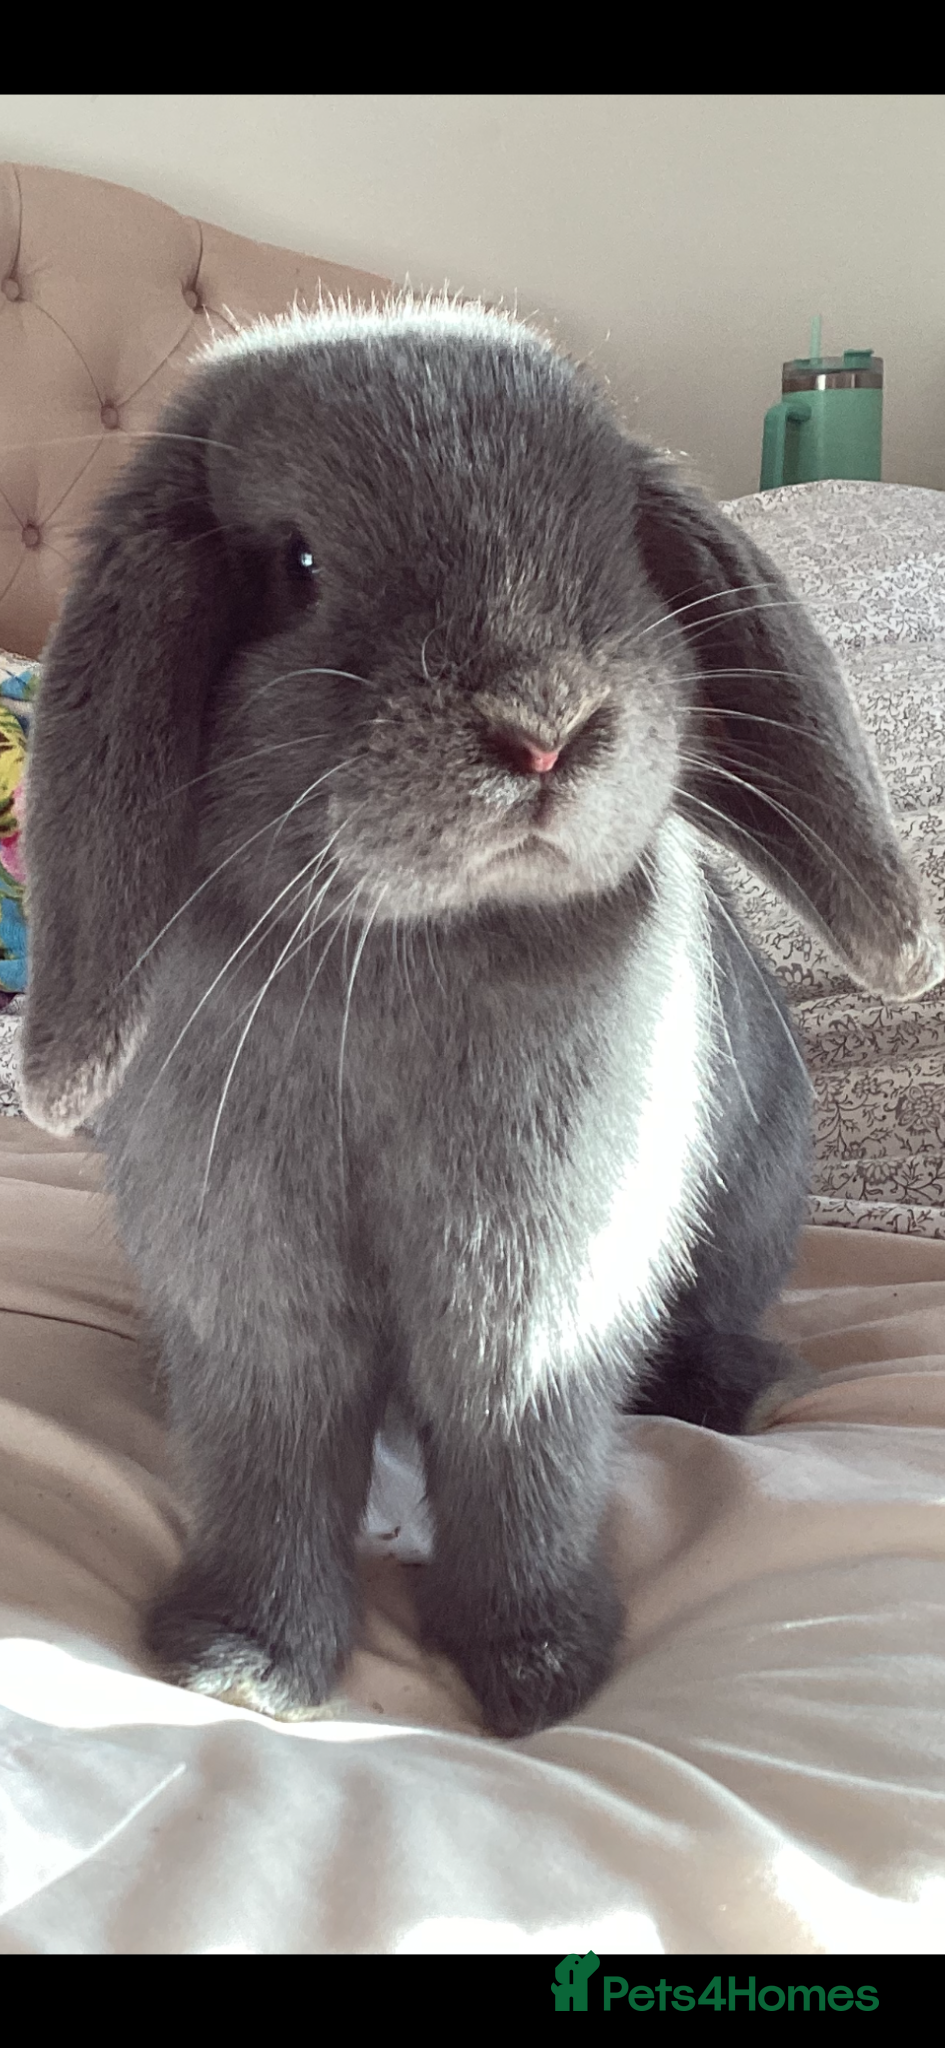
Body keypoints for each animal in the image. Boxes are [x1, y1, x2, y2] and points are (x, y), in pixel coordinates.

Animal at [20, 298, 943, 1739]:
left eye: (616, 542)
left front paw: (536, 1666)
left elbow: (522, 1440)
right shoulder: (250, 1275)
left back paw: (733, 1390)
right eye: (295, 565)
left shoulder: (535, 1280)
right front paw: (243, 1659)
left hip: (753, 1206)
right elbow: (272, 1439)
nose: (547, 728)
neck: (404, 952)